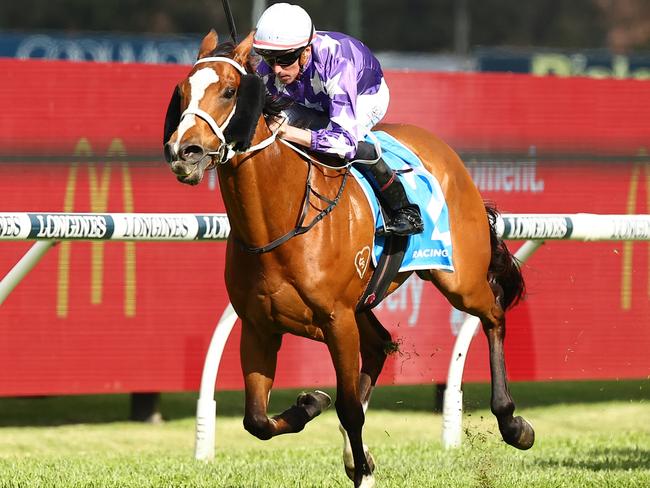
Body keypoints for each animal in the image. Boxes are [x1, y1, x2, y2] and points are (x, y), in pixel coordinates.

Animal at [162, 31, 532, 488]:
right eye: (182, 92)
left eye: (230, 91)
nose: (184, 151)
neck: (281, 221)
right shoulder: (259, 326)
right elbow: (257, 420)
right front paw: (311, 406)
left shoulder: (337, 321)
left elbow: (350, 407)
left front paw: (363, 470)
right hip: (360, 307)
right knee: (380, 344)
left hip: (457, 279)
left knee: (493, 312)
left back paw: (512, 423)